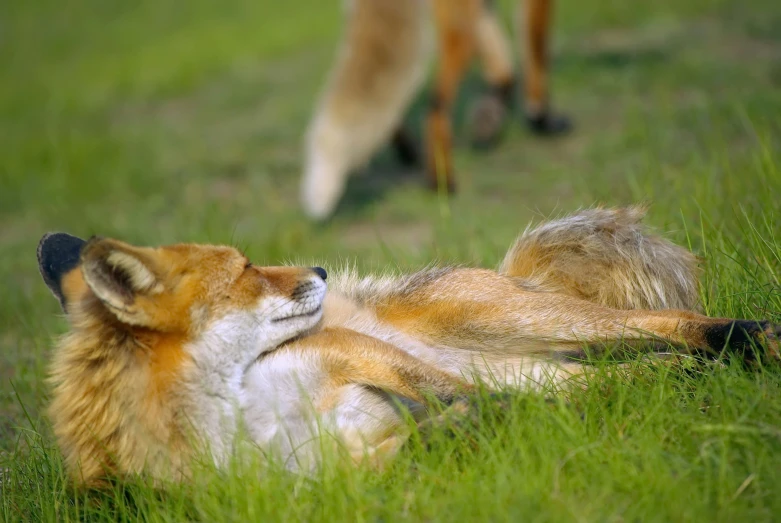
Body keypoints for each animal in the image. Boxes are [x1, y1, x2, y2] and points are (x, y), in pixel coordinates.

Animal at [38, 207, 780, 486]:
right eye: (248, 269)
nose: (321, 269)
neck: (240, 423)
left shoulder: (343, 350)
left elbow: (455, 394)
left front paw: (490, 418)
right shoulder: (334, 473)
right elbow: (430, 436)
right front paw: (475, 430)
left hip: (525, 318)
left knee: (679, 324)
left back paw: (755, 340)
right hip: (564, 368)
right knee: (655, 370)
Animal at [302, 0, 568, 220]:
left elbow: (502, 64)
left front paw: (491, 115)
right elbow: (537, 44)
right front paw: (540, 117)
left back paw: (410, 152)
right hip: (456, 31)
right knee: (435, 105)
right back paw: (441, 181)